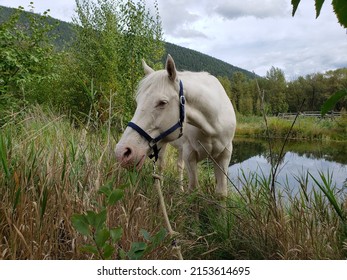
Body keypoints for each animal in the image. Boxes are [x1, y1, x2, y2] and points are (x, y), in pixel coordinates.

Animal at [115, 54, 238, 197]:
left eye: (162, 102)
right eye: (138, 101)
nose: (122, 152)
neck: (212, 125)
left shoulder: (224, 155)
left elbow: (221, 193)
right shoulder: (189, 154)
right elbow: (194, 189)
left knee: (179, 166)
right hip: (163, 145)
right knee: (161, 166)